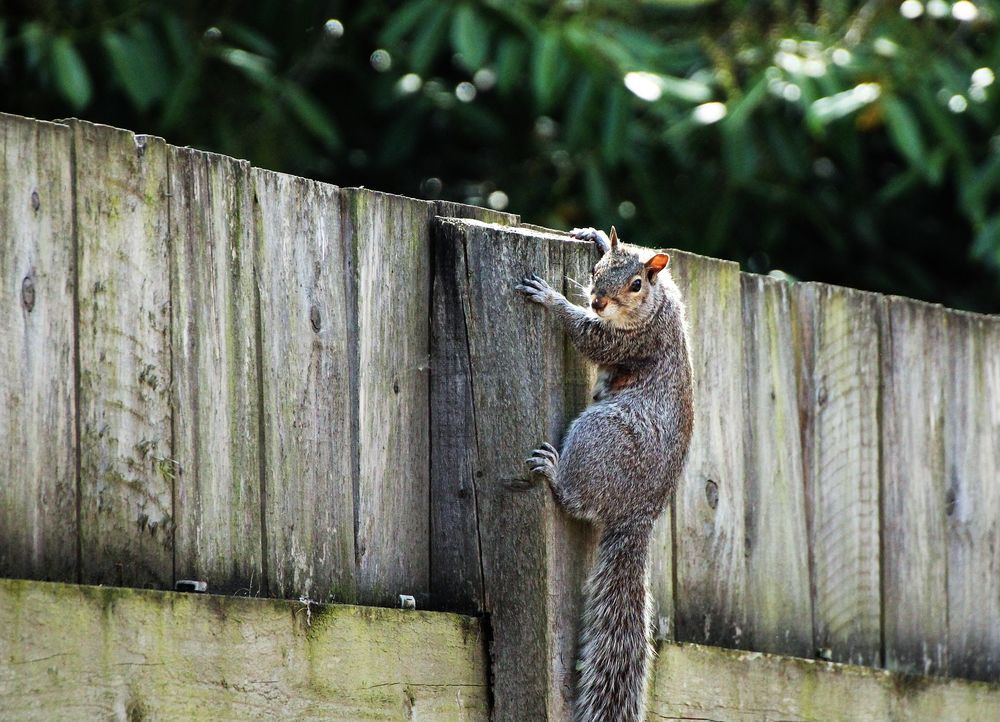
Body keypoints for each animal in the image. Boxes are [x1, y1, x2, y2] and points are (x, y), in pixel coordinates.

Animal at [514, 226, 694, 722]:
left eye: (635, 285)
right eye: (596, 271)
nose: (596, 302)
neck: (658, 304)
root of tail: (640, 513)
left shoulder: (634, 341)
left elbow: (590, 339)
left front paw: (551, 298)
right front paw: (593, 234)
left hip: (599, 436)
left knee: (576, 499)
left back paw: (555, 472)